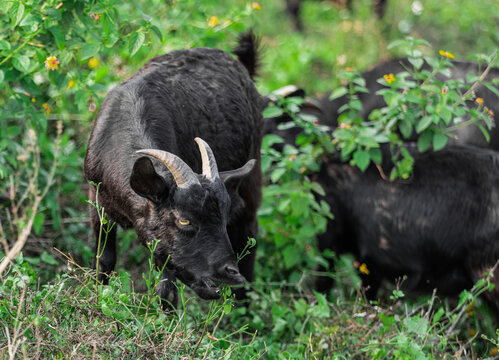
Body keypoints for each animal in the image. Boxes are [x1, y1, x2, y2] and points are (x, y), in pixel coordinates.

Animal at [85, 32, 266, 306]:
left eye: (222, 217)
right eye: (184, 220)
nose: (229, 272)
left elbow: (166, 290)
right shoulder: (98, 201)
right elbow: (103, 261)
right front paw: (97, 299)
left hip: (252, 175)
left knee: (249, 231)